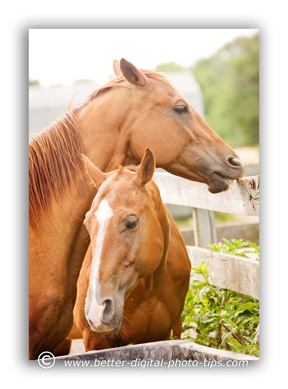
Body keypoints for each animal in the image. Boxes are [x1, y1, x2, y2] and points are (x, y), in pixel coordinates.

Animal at [74, 149, 191, 348]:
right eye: (87, 223)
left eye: (131, 222)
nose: (97, 310)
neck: (150, 288)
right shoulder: (94, 340)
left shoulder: (167, 333)